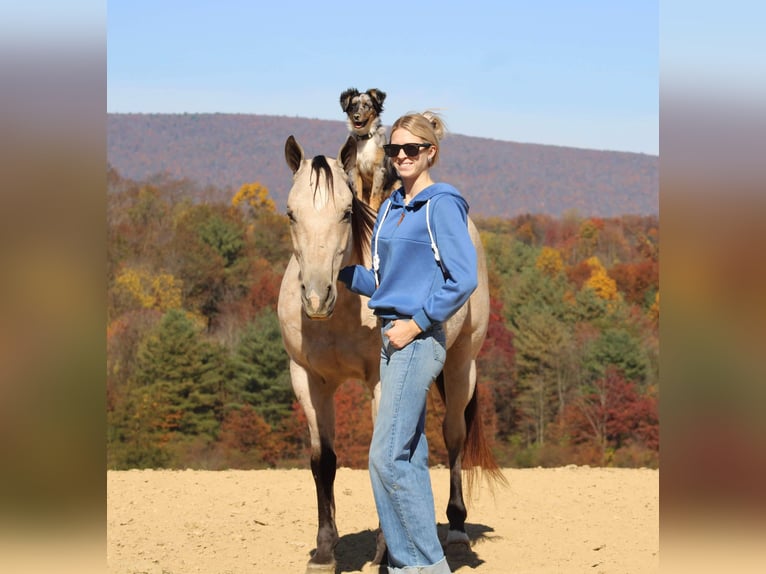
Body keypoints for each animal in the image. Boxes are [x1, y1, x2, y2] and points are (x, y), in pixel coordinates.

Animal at [276, 136, 504, 574]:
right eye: (291, 213)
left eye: (347, 212)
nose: (316, 298)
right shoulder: (309, 382)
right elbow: (322, 461)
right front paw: (325, 552)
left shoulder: (382, 382)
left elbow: (378, 456)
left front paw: (385, 556)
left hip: (461, 365)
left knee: (453, 436)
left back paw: (455, 530)